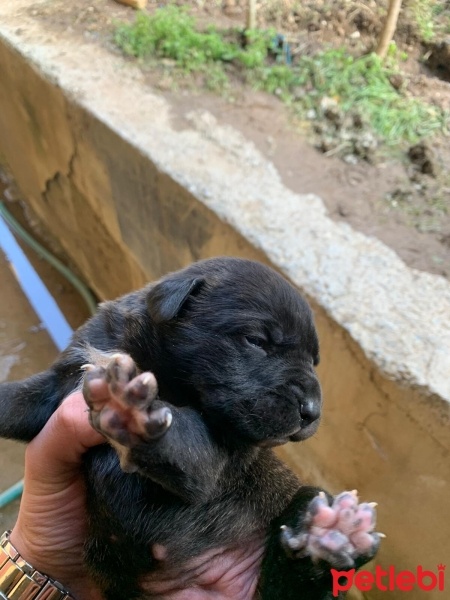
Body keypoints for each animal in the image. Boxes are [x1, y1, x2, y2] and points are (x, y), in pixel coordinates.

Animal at [0, 255, 380, 596]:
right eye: (257, 341)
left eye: (314, 361)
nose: (312, 412)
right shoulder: (59, 384)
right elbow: (17, 400)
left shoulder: (214, 462)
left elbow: (183, 438)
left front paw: (134, 410)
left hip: (307, 499)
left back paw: (330, 538)